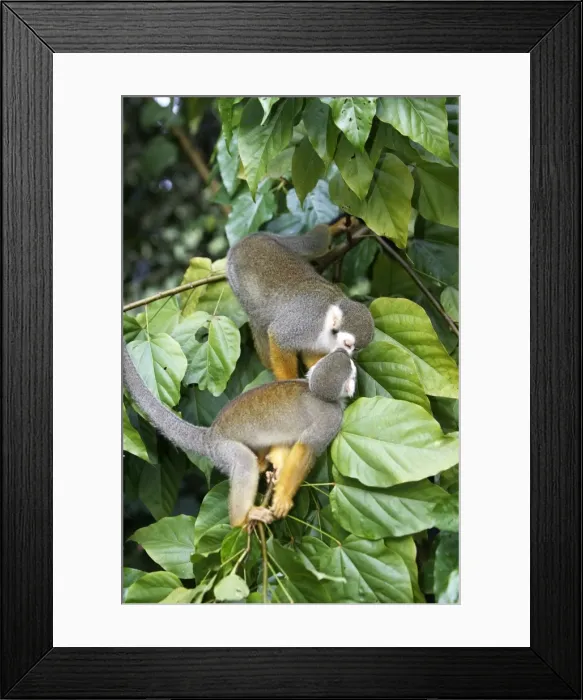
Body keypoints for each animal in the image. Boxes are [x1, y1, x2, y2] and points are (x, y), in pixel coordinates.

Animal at [123, 343, 356, 527]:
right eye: (353, 374)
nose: (344, 350)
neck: (318, 394)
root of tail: (210, 435)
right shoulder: (332, 419)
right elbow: (307, 447)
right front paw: (282, 497)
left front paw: (278, 466)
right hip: (223, 450)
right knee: (244, 461)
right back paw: (241, 519)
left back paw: (264, 463)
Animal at [226, 221, 374, 381]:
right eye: (348, 344)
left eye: (356, 348)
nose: (349, 354)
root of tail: (249, 239)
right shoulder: (308, 323)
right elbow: (278, 336)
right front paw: (288, 380)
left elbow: (310, 353)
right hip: (237, 280)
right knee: (258, 319)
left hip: (286, 245)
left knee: (314, 244)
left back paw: (334, 228)